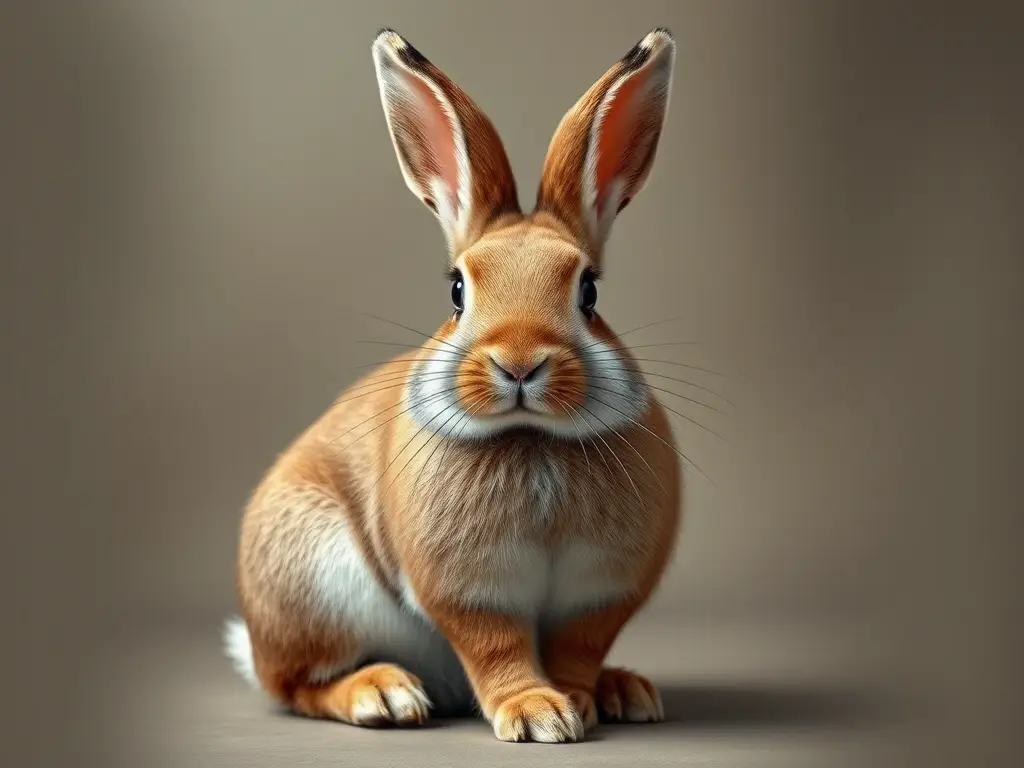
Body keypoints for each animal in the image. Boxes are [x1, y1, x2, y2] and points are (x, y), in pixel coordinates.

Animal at [223, 26, 681, 743]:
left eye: (589, 291)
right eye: (458, 290)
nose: (519, 363)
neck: (530, 435)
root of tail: (255, 644)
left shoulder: (600, 594)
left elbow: (578, 648)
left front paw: (578, 701)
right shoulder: (468, 592)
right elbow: (496, 646)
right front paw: (539, 714)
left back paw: (625, 690)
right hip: (316, 587)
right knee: (299, 685)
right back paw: (382, 695)